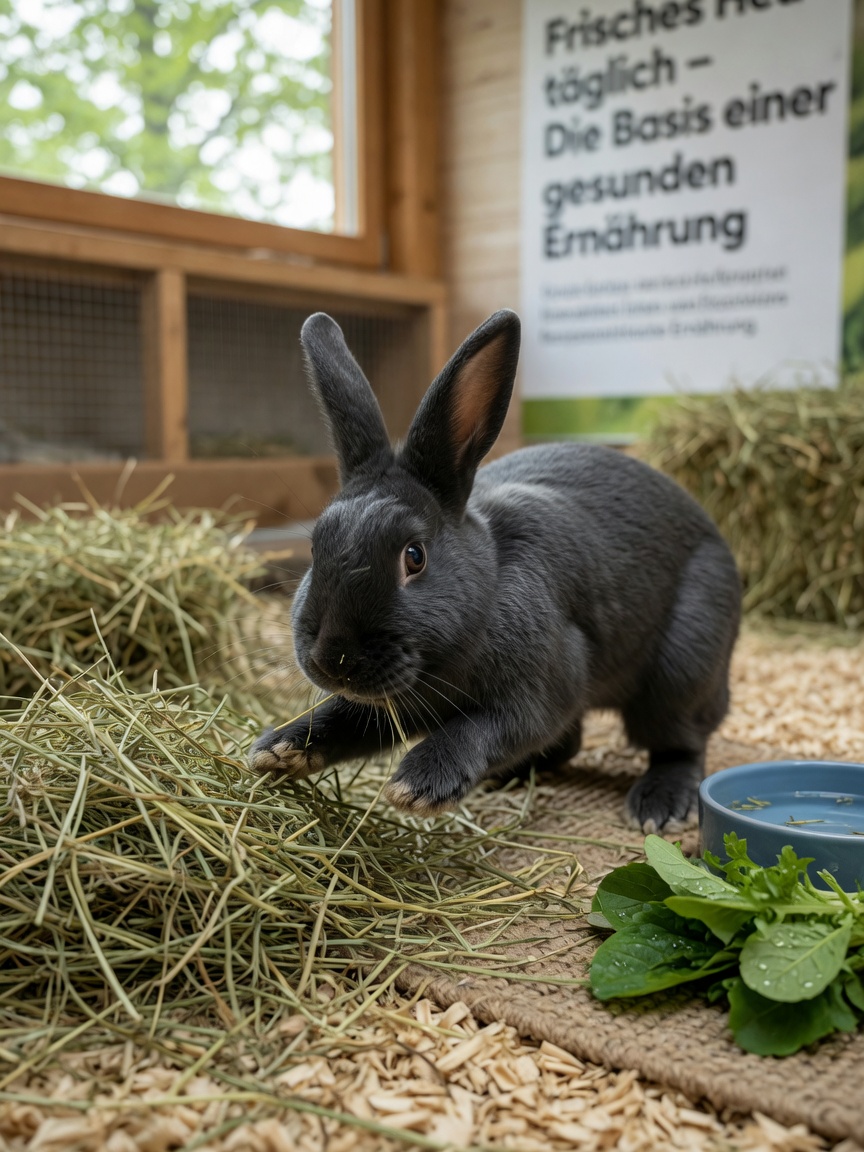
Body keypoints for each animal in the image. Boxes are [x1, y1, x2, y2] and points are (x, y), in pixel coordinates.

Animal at [249, 309, 741, 833]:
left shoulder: (542, 689)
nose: (332, 659)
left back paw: (659, 806)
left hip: (681, 671)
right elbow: (342, 717)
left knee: (680, 743)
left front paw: (418, 785)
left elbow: (488, 727)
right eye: (315, 546)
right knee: (571, 743)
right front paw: (277, 750)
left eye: (414, 556)